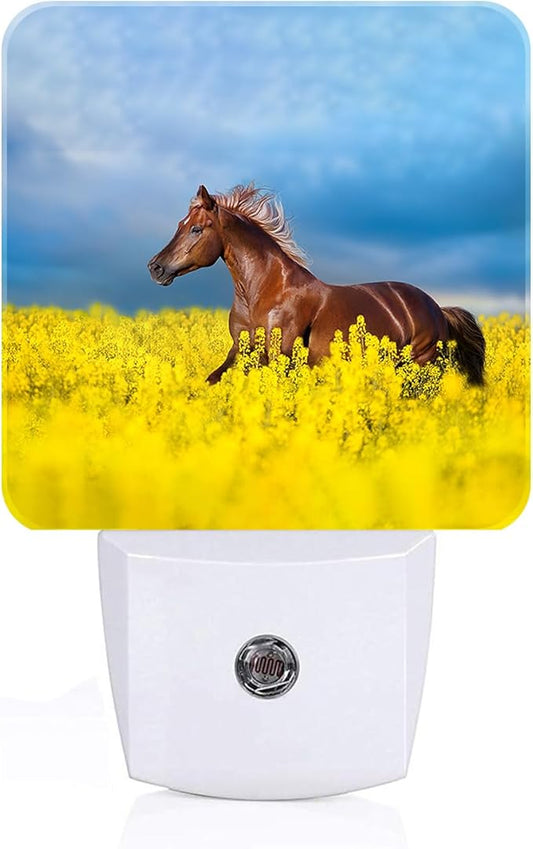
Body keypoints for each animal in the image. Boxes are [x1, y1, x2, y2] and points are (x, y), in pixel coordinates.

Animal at [148, 184, 485, 386]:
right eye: (180, 225)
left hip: (422, 359)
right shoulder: (241, 348)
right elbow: (213, 378)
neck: (264, 291)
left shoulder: (279, 350)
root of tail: (437, 307)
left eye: (196, 229)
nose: (155, 267)